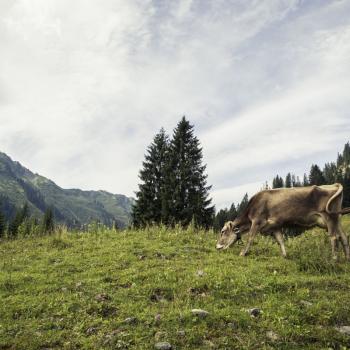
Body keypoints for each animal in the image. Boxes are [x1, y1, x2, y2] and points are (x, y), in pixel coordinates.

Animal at [216, 183, 350, 260]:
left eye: (222, 231)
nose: (217, 246)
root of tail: (333, 184)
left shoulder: (257, 221)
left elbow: (250, 238)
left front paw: (243, 253)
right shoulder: (275, 226)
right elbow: (280, 240)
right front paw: (284, 255)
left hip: (328, 217)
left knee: (334, 237)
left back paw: (334, 259)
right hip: (336, 218)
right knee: (343, 237)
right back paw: (347, 258)